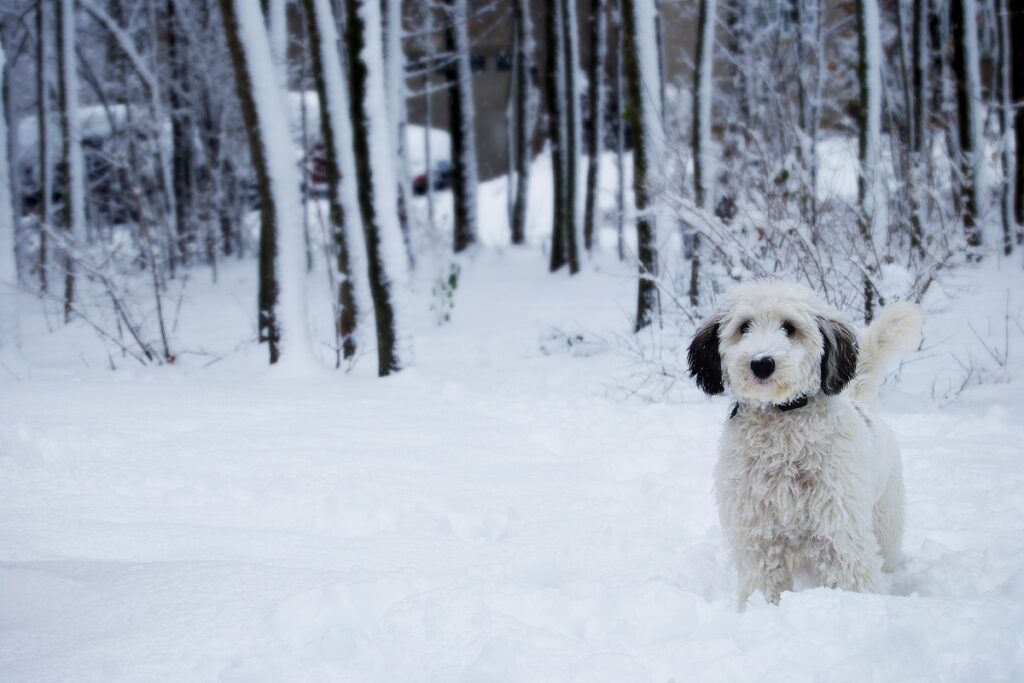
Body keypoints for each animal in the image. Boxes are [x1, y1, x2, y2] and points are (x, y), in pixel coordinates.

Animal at [692, 280, 925, 606]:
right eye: (744, 326)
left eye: (789, 327)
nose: (761, 363)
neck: (781, 420)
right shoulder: (755, 527)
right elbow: (764, 579)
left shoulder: (838, 521)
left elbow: (851, 573)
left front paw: (859, 607)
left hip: (885, 519)